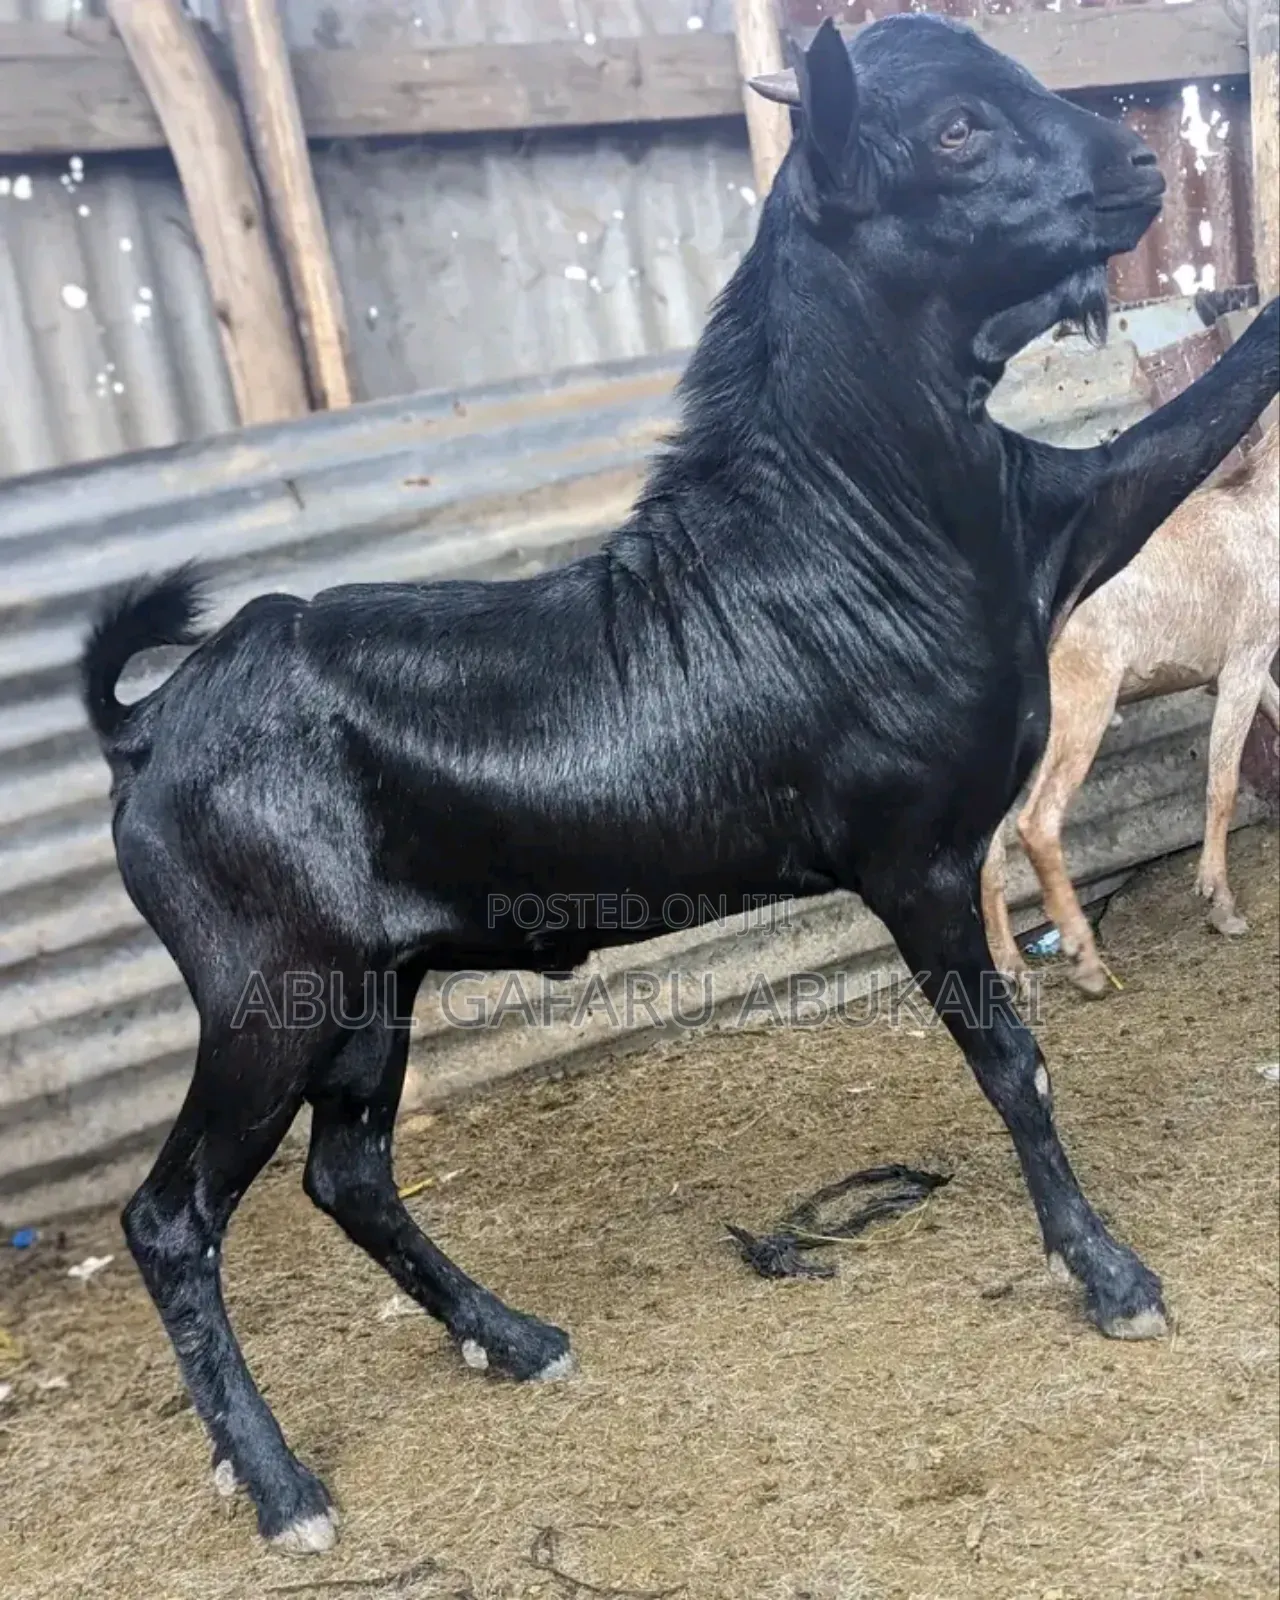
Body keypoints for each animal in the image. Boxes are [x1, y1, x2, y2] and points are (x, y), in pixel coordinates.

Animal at [983, 420, 1280, 996]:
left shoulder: (1256, 666)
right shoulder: (1245, 659)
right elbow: (1222, 784)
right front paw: (1220, 903)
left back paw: (1013, 969)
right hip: (1082, 702)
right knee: (1038, 823)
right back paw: (1086, 962)